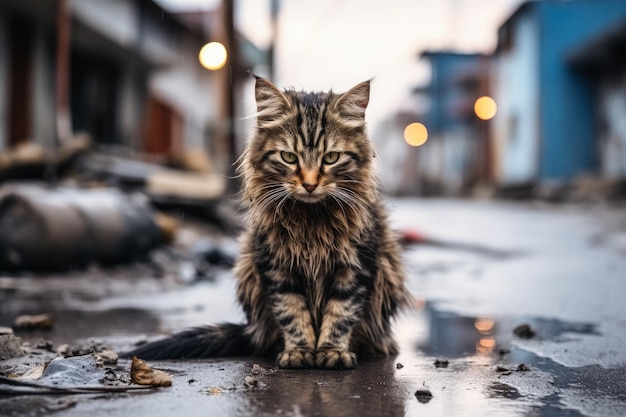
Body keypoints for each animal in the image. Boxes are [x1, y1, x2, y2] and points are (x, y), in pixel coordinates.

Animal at [125, 76, 410, 368]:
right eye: (289, 157)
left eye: (331, 158)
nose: (309, 185)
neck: (311, 220)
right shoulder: (275, 265)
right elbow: (291, 311)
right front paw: (299, 351)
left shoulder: (356, 266)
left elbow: (341, 313)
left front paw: (332, 351)